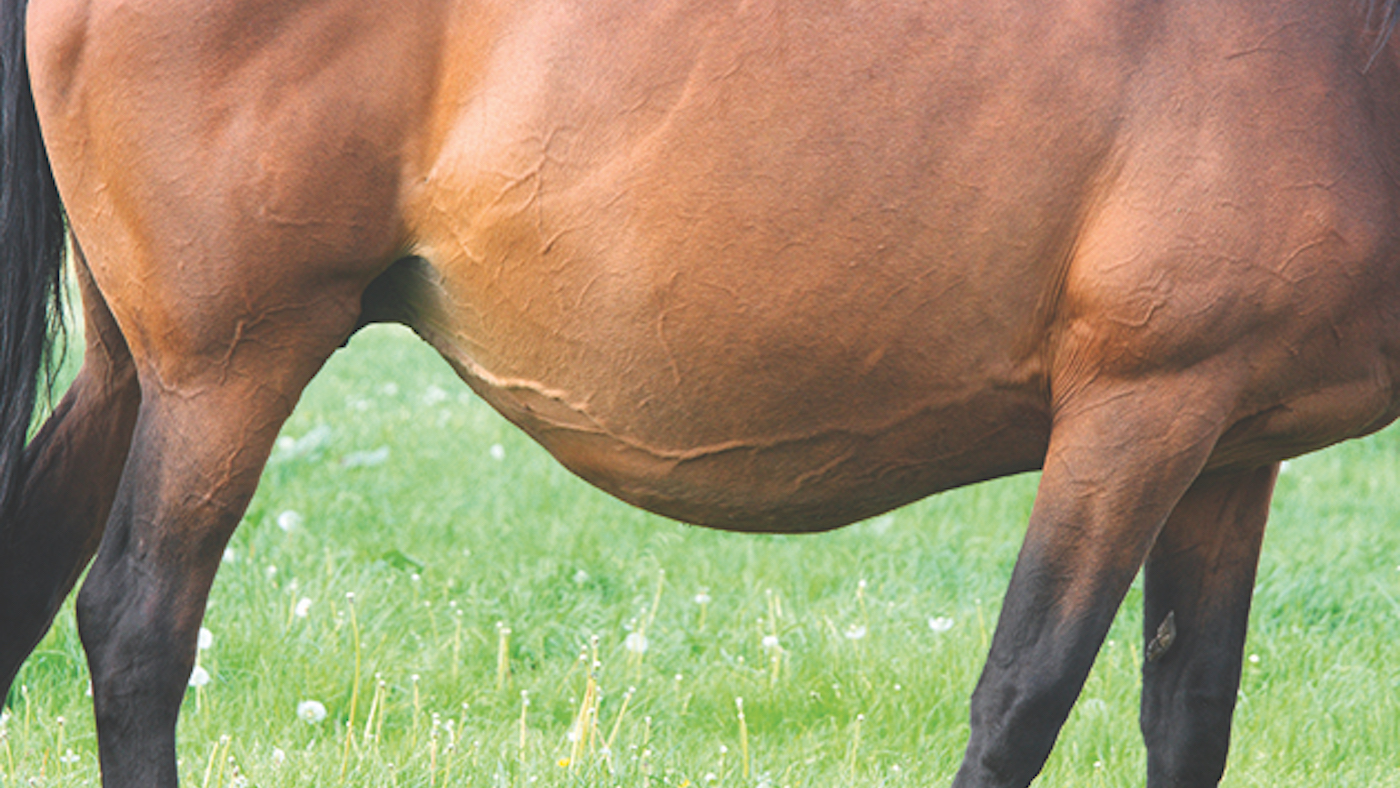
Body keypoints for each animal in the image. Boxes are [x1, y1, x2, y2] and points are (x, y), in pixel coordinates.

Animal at [5, 0, 1400, 785]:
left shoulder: (1224, 443)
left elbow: (1188, 713)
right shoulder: (1134, 414)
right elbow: (1023, 693)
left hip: (141, 375)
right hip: (229, 366)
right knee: (136, 628)